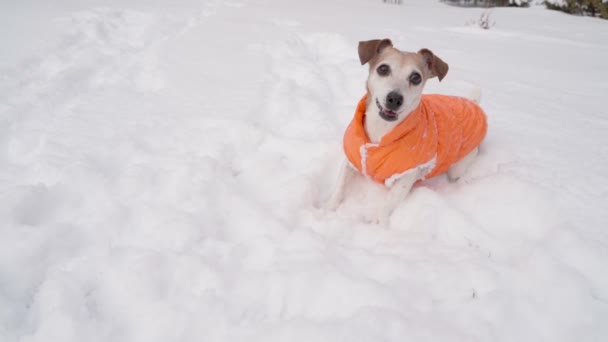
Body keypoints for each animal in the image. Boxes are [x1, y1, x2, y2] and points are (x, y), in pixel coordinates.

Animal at [326, 38, 486, 224]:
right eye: (383, 69)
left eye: (416, 77)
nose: (395, 98)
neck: (381, 131)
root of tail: (473, 103)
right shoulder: (351, 161)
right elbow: (339, 188)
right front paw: (326, 211)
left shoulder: (406, 177)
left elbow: (387, 204)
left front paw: (377, 224)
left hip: (459, 167)